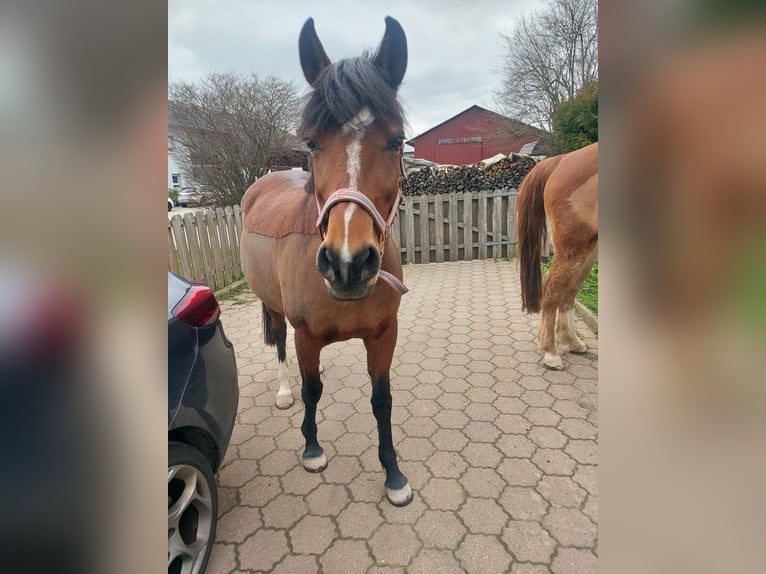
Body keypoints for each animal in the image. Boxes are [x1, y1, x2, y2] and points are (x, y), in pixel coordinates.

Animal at [242, 15, 414, 506]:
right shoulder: (306, 336)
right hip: (273, 308)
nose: (348, 263)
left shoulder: (383, 335)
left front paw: (393, 473)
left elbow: (382, 400)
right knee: (281, 345)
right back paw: (284, 391)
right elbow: (312, 390)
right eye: (312, 143)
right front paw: (312, 448)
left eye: (397, 140)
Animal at [516, 142, 600, 372]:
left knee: (570, 290)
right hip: (575, 243)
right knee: (552, 289)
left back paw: (571, 341)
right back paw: (550, 352)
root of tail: (561, 160)